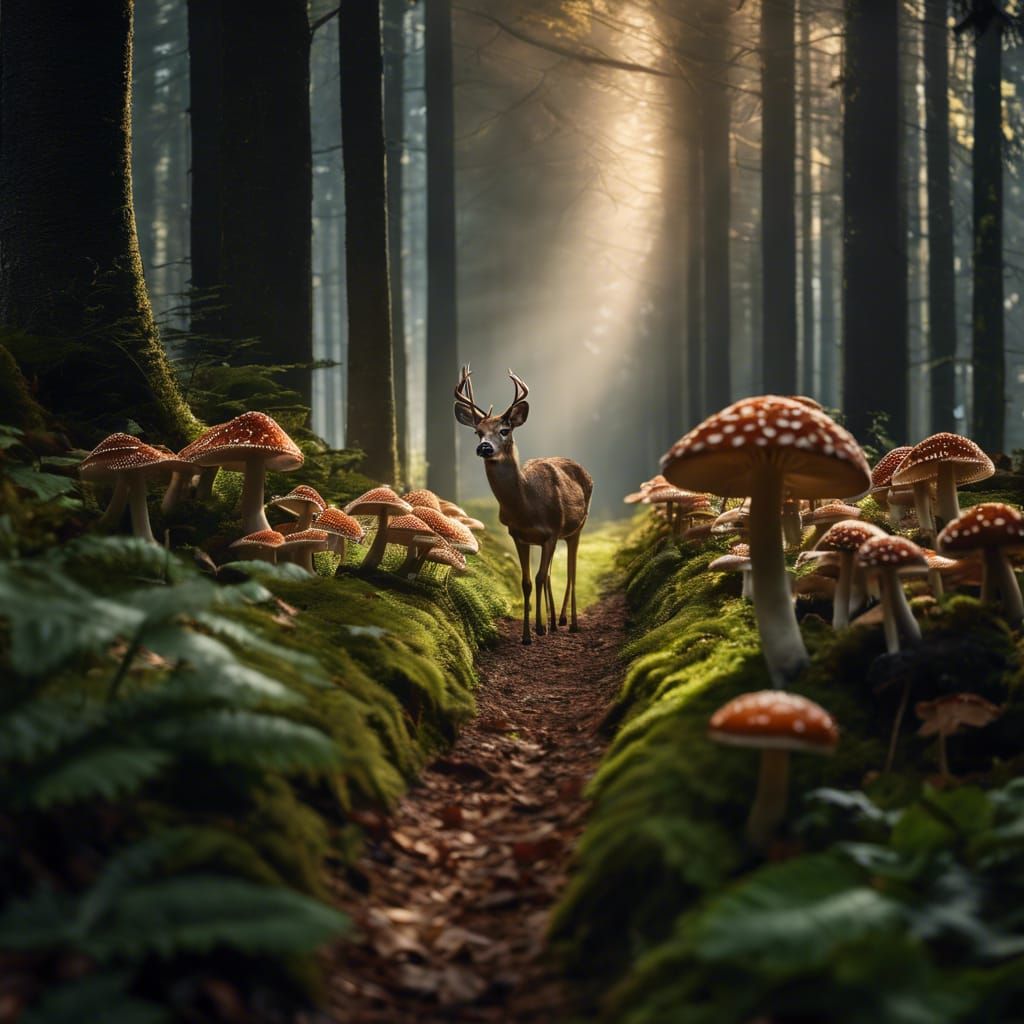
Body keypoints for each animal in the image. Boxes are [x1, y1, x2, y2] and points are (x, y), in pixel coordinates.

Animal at [454, 366, 593, 645]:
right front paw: (530, 633)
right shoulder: (519, 535)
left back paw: (570, 622)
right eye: (477, 431)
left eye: (504, 430)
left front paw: (539, 628)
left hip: (577, 527)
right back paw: (555, 620)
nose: (484, 447)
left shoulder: (551, 532)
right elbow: (527, 582)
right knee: (550, 575)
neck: (528, 507)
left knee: (570, 572)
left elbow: (539, 577)